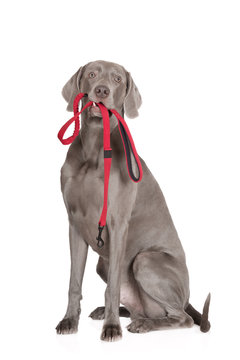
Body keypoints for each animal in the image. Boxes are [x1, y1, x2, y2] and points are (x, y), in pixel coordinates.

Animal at [55, 60, 210, 342]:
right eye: (92, 74)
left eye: (117, 79)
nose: (102, 90)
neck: (95, 149)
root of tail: (187, 298)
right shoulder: (74, 223)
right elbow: (74, 282)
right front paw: (69, 321)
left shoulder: (117, 224)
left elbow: (113, 287)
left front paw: (111, 328)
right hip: (103, 264)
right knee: (141, 308)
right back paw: (116, 313)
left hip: (146, 259)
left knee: (180, 317)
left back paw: (142, 324)